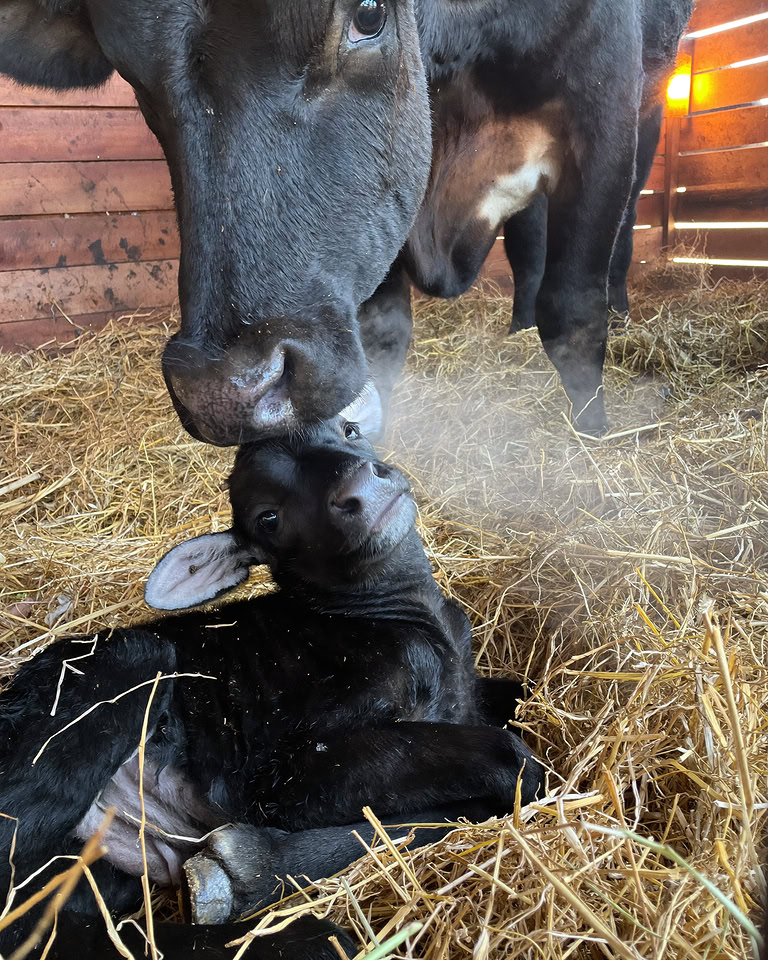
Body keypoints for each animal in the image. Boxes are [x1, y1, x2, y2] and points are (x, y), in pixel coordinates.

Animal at [0, 1, 693, 442]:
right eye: (134, 76)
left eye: (368, 13)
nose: (224, 390)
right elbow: (383, 330)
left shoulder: (603, 103)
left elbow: (573, 309)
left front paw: (592, 441)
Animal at [0, 417, 542, 958]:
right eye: (268, 518)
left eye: (348, 430)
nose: (360, 489)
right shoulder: (285, 771)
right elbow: (513, 763)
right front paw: (252, 867)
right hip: (128, 664)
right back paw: (310, 937)